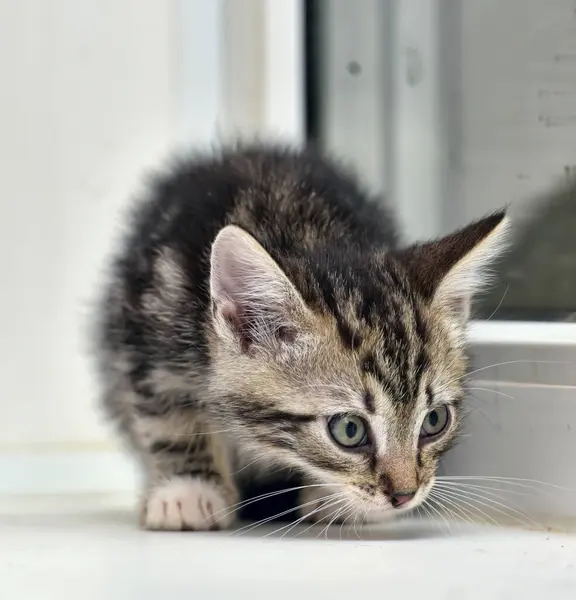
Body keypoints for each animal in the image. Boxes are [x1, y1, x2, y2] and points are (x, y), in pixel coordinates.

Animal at [94, 145, 508, 528]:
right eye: (349, 429)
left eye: (435, 420)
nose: (405, 495)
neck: (303, 231)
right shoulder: (152, 332)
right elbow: (167, 416)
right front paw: (188, 489)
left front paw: (330, 496)